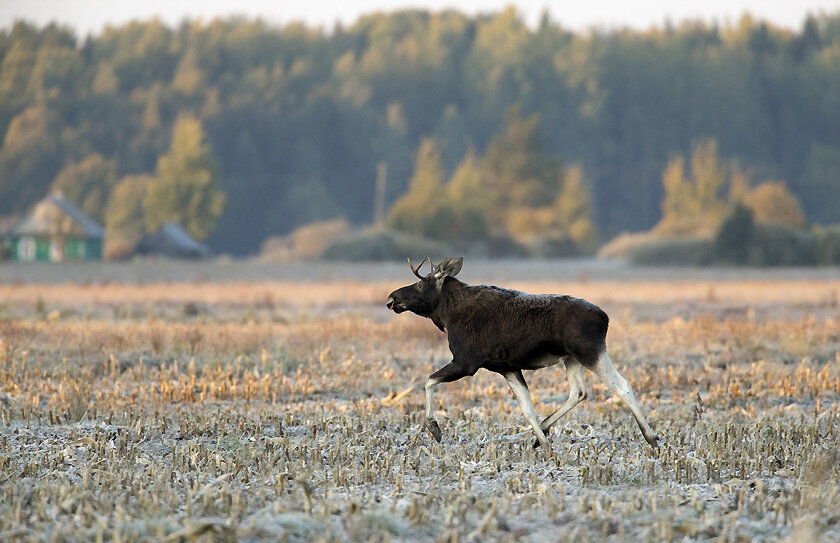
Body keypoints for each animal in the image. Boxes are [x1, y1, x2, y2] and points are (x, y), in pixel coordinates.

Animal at [384, 258, 660, 452]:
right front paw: (545, 445)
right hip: (571, 358)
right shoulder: (507, 367)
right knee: (579, 392)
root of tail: (605, 318)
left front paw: (434, 427)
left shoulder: (466, 362)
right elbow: (526, 407)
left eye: (420, 283)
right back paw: (544, 432)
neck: (446, 314)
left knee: (622, 386)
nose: (391, 298)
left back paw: (652, 438)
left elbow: (428, 381)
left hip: (590, 351)